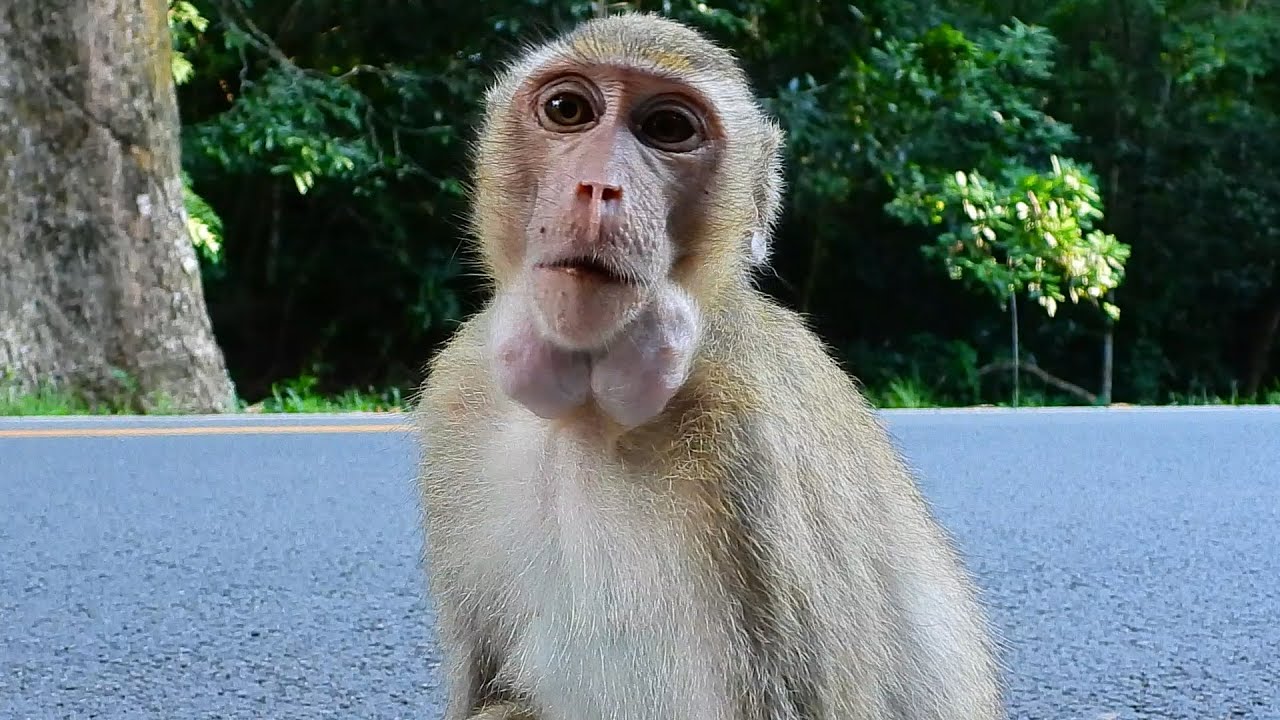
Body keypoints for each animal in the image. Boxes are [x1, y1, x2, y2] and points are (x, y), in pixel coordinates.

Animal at [414, 12, 1006, 720]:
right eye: (567, 110)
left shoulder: (753, 446)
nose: (598, 188)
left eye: (668, 129)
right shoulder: (459, 395)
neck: (588, 410)